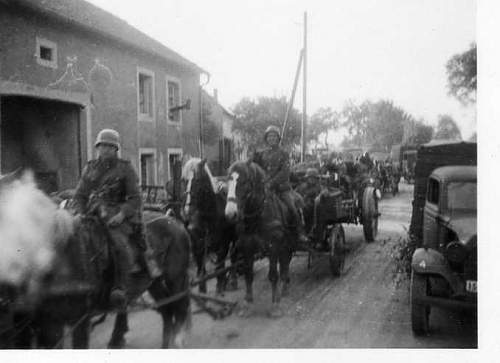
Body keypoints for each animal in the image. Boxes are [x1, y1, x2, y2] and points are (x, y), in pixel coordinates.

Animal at [0, 171, 191, 350]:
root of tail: (174, 221)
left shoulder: (80, 320)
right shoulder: (49, 324)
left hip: (176, 279)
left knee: (178, 307)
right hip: (153, 282)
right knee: (167, 309)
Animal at [182, 158, 238, 294]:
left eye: (197, 180)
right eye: (184, 180)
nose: (187, 210)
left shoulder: (223, 243)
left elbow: (220, 265)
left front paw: (219, 285)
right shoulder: (198, 245)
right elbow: (201, 268)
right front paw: (202, 288)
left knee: (233, 257)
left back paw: (232, 280)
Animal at [224, 161, 296, 318]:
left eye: (244, 182)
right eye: (228, 181)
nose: (230, 214)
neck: (259, 214)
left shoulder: (273, 246)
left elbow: (273, 275)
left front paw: (275, 305)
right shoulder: (247, 247)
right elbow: (248, 275)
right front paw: (248, 303)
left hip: (287, 244)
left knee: (285, 263)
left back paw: (284, 286)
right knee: (285, 262)